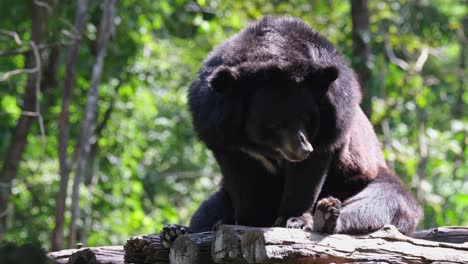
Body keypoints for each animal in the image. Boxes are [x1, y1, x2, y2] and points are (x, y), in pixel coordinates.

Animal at [161, 16, 420, 248]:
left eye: (307, 119)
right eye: (275, 124)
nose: (303, 149)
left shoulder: (333, 118)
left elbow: (308, 175)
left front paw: (294, 220)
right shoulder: (217, 125)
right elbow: (240, 178)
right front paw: (249, 220)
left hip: (366, 177)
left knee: (377, 202)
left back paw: (327, 215)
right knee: (211, 206)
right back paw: (176, 231)